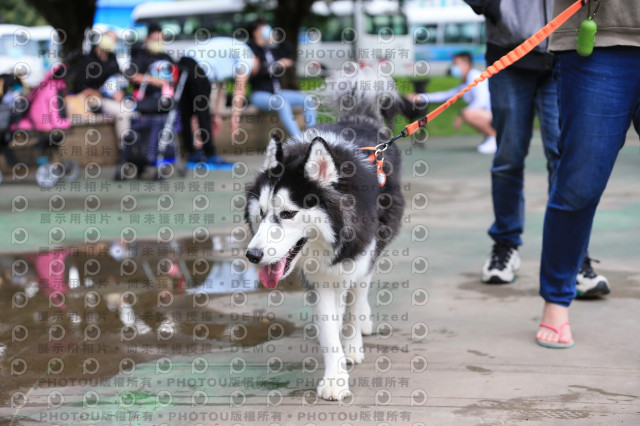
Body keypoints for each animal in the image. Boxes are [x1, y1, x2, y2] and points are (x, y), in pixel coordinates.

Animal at [245, 65, 404, 400]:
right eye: (262, 212)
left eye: (288, 213)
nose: (252, 255)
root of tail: (358, 119)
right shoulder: (320, 279)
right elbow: (329, 329)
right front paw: (335, 378)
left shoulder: (355, 257)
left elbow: (351, 306)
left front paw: (351, 347)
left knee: (361, 289)